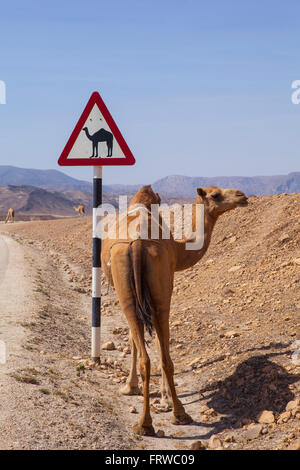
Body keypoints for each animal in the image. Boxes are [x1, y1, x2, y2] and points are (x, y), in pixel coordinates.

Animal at [101, 183, 248, 434]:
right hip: (152, 290)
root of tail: (138, 242)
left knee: (151, 354)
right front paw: (155, 394)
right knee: (159, 356)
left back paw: (152, 421)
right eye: (215, 194)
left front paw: (136, 389)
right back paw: (169, 416)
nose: (242, 196)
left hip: (134, 292)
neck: (180, 250)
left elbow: (135, 340)